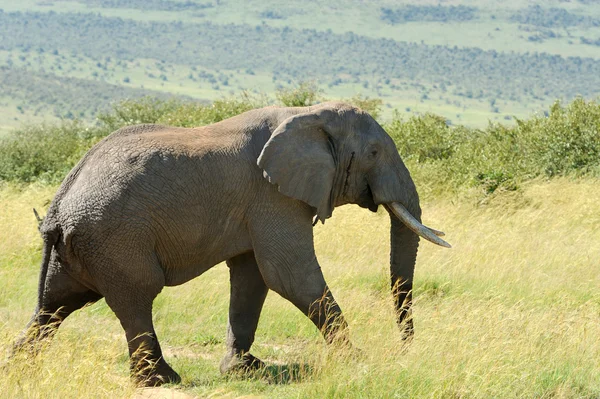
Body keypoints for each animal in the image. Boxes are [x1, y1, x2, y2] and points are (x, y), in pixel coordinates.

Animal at [11, 102, 448, 388]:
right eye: (373, 153)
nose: (405, 350)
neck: (308, 112)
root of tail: (58, 206)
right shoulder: (272, 195)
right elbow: (288, 273)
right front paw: (356, 361)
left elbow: (252, 276)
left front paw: (243, 370)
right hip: (115, 240)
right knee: (136, 298)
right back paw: (163, 380)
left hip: (79, 248)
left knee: (54, 305)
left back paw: (17, 369)